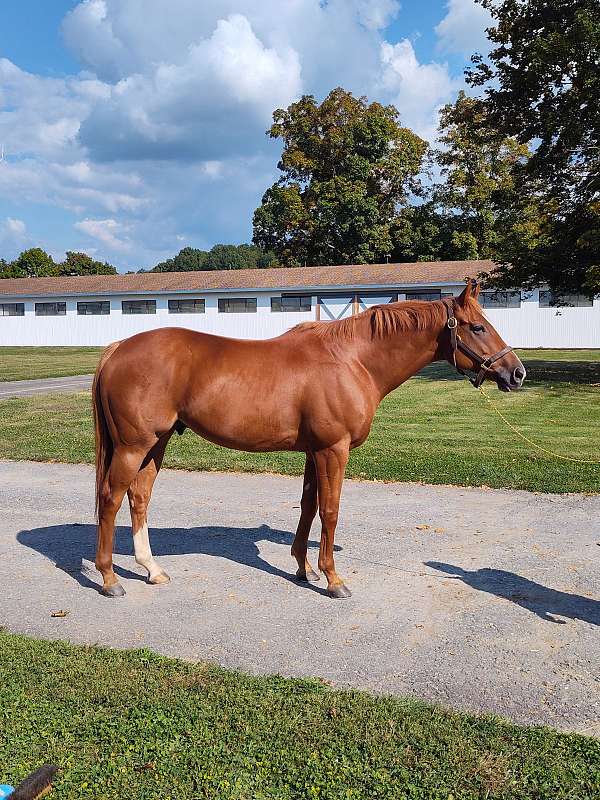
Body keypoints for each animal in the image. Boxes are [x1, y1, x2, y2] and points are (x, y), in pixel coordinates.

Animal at [92, 280, 525, 599]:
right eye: (478, 327)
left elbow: (308, 506)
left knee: (139, 498)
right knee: (111, 498)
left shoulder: (314, 452)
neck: (352, 360)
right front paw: (333, 579)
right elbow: (330, 511)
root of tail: (118, 348)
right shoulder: (333, 451)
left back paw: (152, 570)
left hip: (157, 443)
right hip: (134, 446)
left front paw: (304, 569)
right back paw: (110, 579)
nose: (516, 373)